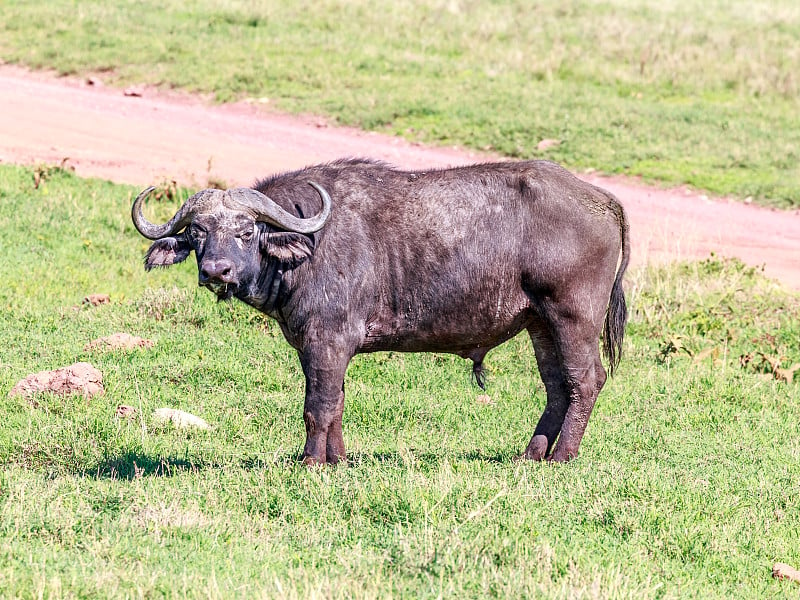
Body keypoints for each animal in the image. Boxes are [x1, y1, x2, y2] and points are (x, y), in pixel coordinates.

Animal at [133, 158, 632, 464]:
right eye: (197, 231)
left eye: (246, 230)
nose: (216, 270)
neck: (307, 248)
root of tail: (604, 201)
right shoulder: (323, 349)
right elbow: (335, 403)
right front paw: (337, 460)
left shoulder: (326, 341)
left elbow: (317, 406)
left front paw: (311, 463)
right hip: (539, 324)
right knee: (557, 386)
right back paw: (531, 454)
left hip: (571, 317)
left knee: (586, 381)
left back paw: (563, 457)